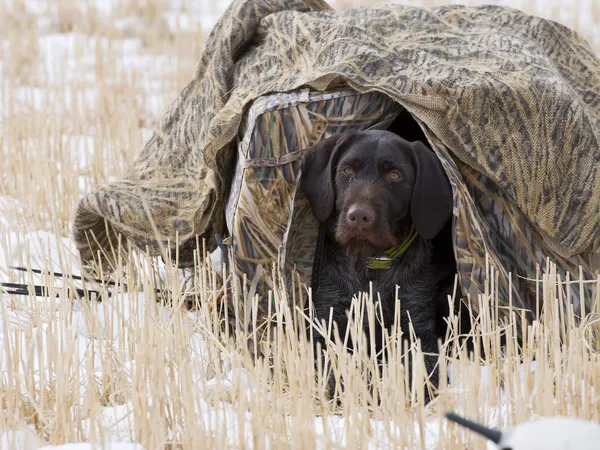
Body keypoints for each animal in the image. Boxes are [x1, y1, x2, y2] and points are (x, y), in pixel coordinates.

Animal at [300, 127, 464, 404]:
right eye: (347, 171)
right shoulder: (326, 325)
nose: (359, 217)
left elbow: (420, 367)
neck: (368, 267)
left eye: (395, 175)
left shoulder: (417, 328)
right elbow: (333, 365)